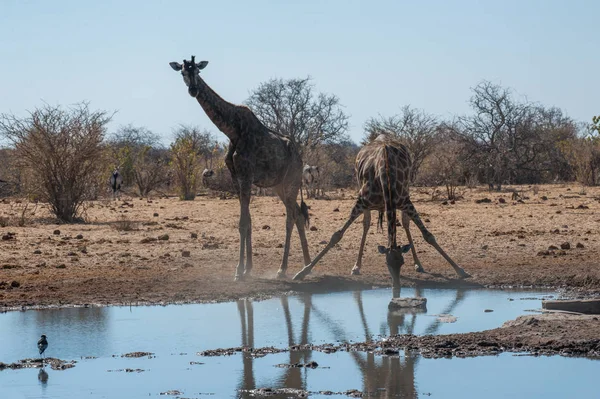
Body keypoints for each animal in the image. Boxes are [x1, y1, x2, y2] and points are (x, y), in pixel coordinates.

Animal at [168, 56, 310, 282]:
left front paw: (239, 272)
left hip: (291, 181)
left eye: (197, 72)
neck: (232, 130)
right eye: (182, 72)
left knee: (290, 217)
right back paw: (306, 266)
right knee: (298, 214)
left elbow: (243, 223)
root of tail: (299, 155)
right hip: (279, 185)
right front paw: (247, 268)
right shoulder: (237, 177)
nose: (193, 89)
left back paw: (284, 269)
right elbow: (247, 221)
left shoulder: (246, 175)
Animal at [294, 134, 468, 288]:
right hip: (362, 193)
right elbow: (336, 236)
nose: (396, 286)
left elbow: (428, 236)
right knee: (366, 224)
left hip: (406, 192)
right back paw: (356, 266)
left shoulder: (406, 201)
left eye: (402, 262)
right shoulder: (361, 201)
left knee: (405, 223)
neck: (386, 175)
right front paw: (303, 272)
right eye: (387, 264)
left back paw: (418, 264)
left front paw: (460, 270)